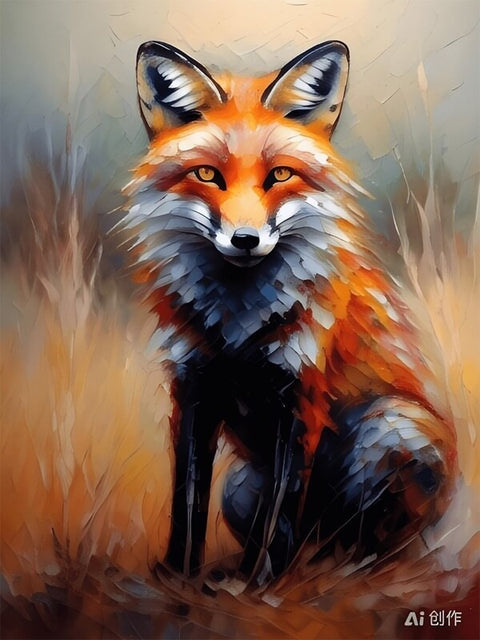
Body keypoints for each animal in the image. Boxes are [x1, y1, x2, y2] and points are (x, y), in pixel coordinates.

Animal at [121, 41, 458, 580]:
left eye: (279, 175)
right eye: (207, 174)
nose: (245, 239)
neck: (237, 327)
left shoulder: (301, 396)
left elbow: (281, 511)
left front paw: (261, 586)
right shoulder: (192, 389)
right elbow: (187, 503)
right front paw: (179, 577)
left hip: (392, 427)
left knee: (351, 546)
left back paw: (331, 571)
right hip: (240, 487)